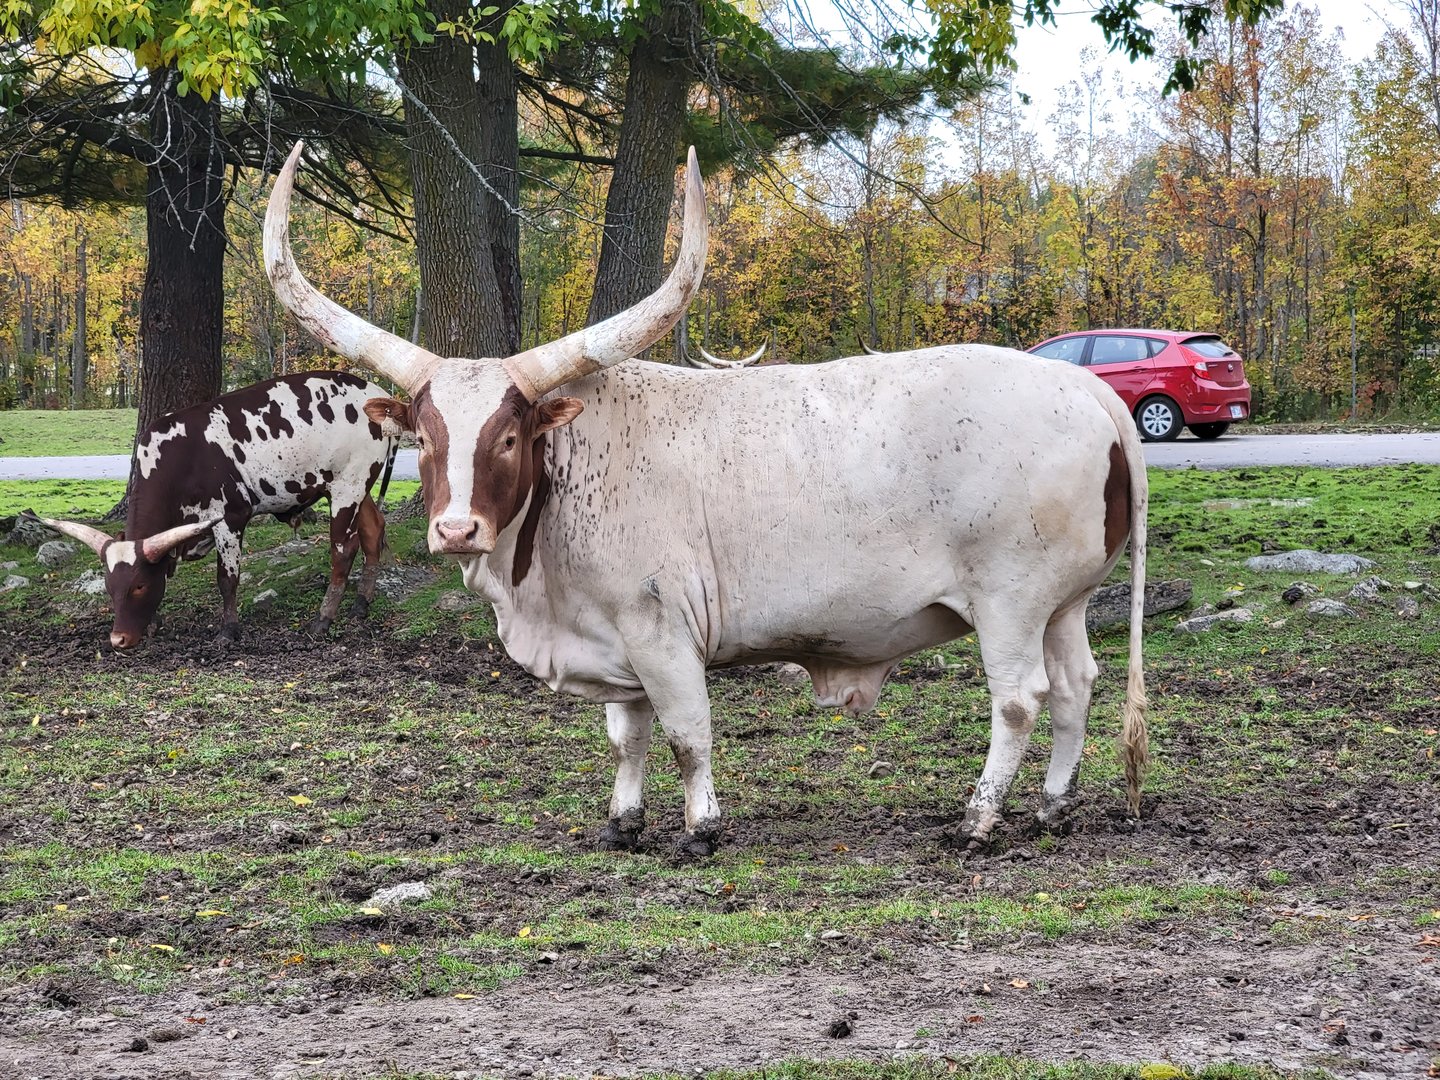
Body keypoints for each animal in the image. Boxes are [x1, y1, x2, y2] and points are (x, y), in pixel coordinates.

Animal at [32, 371, 395, 649]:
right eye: (110, 587)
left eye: (139, 586)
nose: (118, 639)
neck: (175, 460)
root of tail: (377, 394)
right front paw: (153, 622)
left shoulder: (229, 518)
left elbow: (227, 579)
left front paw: (229, 630)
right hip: (354, 487)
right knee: (372, 531)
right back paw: (361, 604)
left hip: (348, 486)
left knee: (343, 549)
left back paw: (324, 618)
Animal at [265, 142, 1150, 855]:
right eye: (425, 436)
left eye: (509, 437)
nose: (454, 530)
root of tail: (1084, 388)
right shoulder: (615, 645)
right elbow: (626, 738)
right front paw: (623, 823)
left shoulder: (662, 630)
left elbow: (687, 734)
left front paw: (700, 828)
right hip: (1063, 603)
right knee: (1076, 687)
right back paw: (1053, 807)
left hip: (1010, 601)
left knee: (1021, 701)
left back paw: (979, 819)